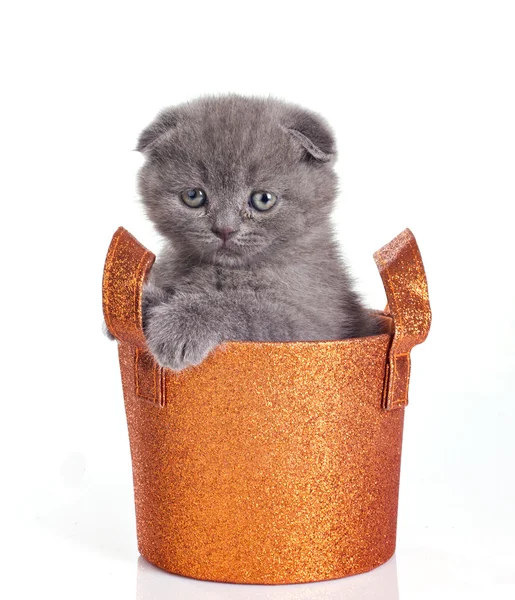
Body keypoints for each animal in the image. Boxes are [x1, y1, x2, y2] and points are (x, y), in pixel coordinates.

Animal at [135, 94, 384, 370]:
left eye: (263, 199)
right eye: (193, 196)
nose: (225, 228)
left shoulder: (313, 324)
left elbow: (244, 307)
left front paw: (180, 323)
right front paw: (144, 300)